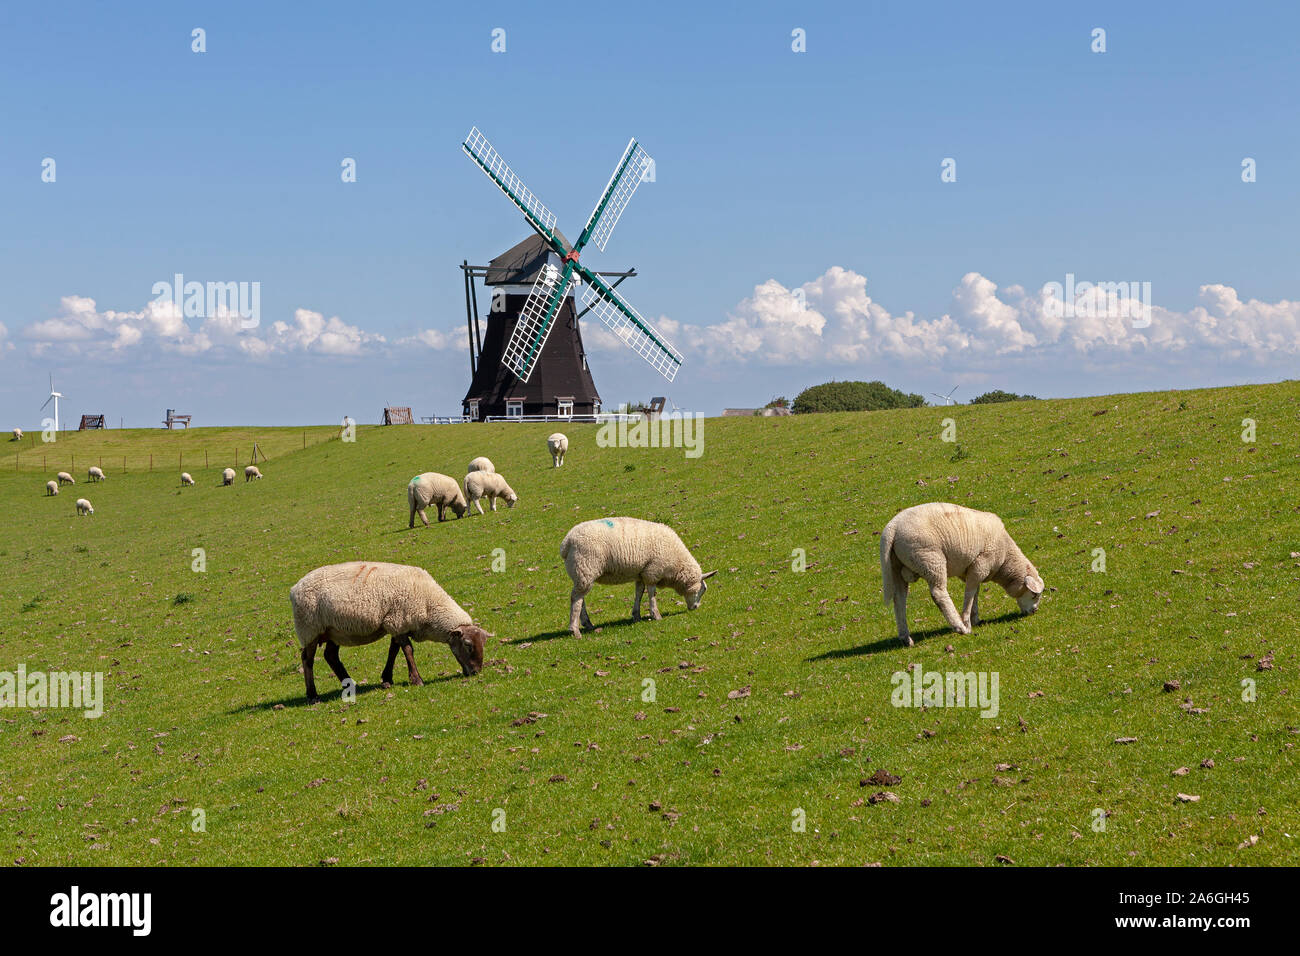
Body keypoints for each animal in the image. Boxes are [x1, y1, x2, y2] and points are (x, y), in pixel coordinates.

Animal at [288, 561, 488, 702]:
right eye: (468, 645)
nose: (476, 671)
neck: (429, 603)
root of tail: (295, 588)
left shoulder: (396, 623)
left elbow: (394, 650)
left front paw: (387, 678)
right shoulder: (398, 621)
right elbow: (408, 650)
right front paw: (417, 680)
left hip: (334, 631)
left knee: (330, 656)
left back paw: (350, 685)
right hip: (309, 629)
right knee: (307, 659)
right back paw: (313, 695)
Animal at [561, 520, 717, 639]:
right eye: (703, 589)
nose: (695, 607)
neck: (677, 564)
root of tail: (566, 543)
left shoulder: (642, 573)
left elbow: (639, 593)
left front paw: (637, 615)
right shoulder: (653, 571)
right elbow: (652, 593)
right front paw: (656, 614)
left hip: (581, 573)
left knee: (580, 598)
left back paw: (587, 624)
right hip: (585, 567)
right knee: (576, 599)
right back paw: (575, 630)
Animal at [878, 502, 1040, 650]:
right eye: (1034, 595)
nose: (1034, 611)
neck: (1006, 558)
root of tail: (892, 528)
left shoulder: (971, 570)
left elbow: (975, 593)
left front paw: (976, 619)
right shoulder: (980, 565)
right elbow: (969, 594)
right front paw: (967, 622)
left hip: (895, 566)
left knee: (899, 599)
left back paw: (905, 638)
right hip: (930, 559)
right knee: (938, 593)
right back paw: (959, 627)